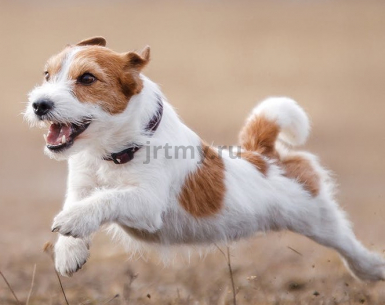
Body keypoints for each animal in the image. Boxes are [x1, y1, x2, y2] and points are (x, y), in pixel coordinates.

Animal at [24, 36, 384, 280]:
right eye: (47, 75)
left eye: (87, 78)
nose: (39, 104)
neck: (114, 152)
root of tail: (264, 155)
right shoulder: (81, 185)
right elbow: (81, 200)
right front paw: (69, 251)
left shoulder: (147, 203)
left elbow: (106, 198)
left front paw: (73, 221)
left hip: (319, 220)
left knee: (348, 246)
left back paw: (371, 268)